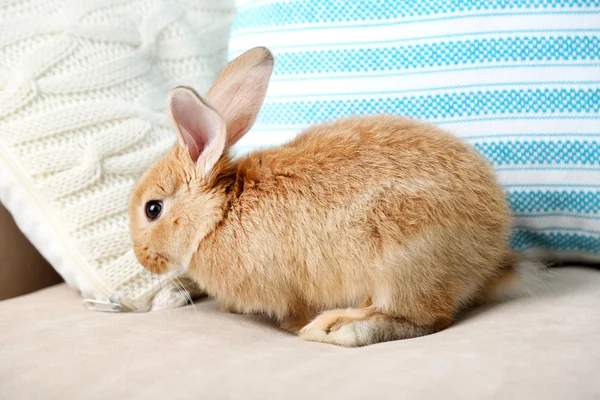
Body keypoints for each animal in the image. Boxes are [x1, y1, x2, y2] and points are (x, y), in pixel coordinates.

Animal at [129, 47, 548, 346]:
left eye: (153, 209)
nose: (143, 258)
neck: (221, 211)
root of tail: (489, 260)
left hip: (405, 259)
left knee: (425, 319)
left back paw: (338, 328)